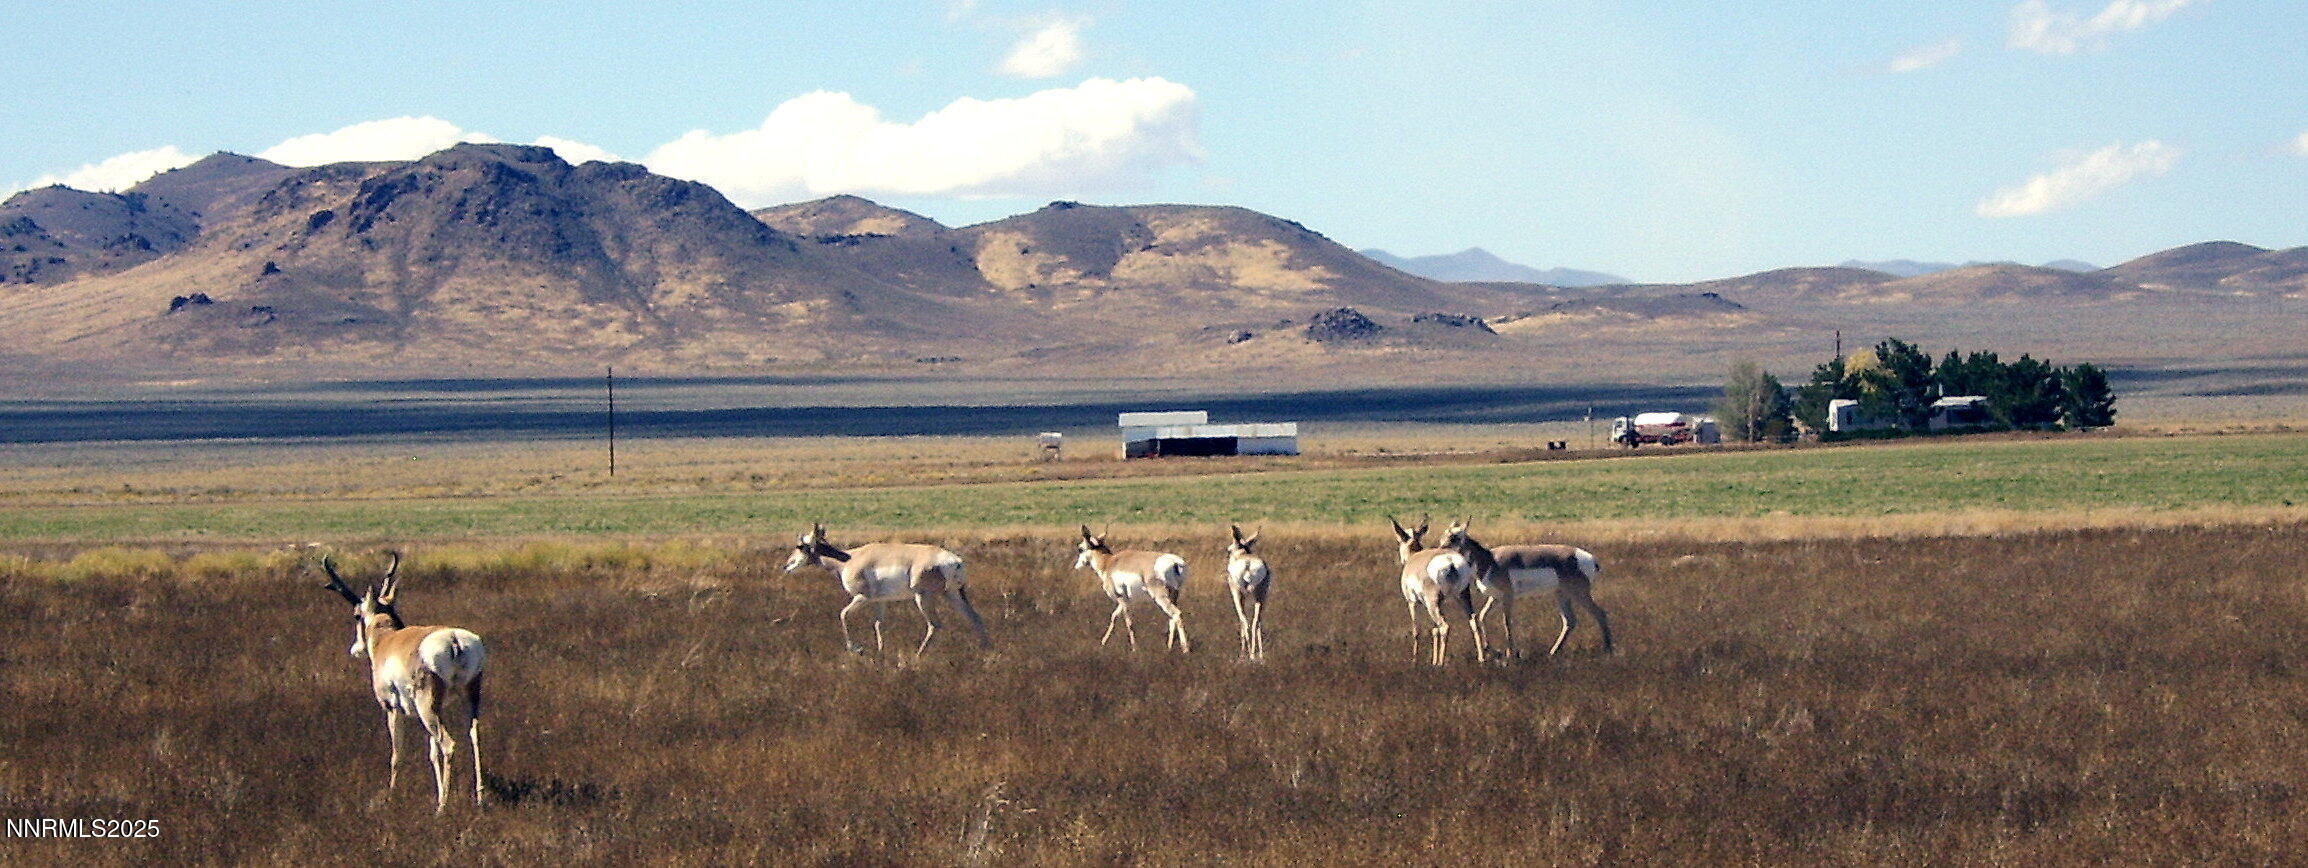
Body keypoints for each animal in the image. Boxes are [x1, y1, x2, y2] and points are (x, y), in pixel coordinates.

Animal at [317, 552, 487, 814]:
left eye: (356, 615)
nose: (355, 649)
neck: (387, 638)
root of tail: (454, 639)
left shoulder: (392, 708)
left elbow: (397, 753)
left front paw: (391, 795)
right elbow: (431, 753)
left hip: (428, 707)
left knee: (448, 744)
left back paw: (442, 808)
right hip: (466, 698)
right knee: (473, 736)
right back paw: (479, 799)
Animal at [783, 523, 991, 655]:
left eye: (799, 546)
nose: (786, 566)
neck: (849, 559)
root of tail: (955, 561)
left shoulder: (862, 597)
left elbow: (843, 614)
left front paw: (856, 649)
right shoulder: (880, 602)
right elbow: (878, 623)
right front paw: (880, 652)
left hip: (922, 597)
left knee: (934, 625)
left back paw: (918, 656)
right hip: (954, 594)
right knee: (975, 618)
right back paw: (985, 652)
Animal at [1224, 524, 1272, 661]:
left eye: (1228, 550)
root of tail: (1248, 563)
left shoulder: (1237, 594)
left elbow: (1241, 619)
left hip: (1239, 593)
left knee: (1245, 620)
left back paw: (1248, 654)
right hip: (1260, 595)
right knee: (1256, 621)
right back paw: (1258, 655)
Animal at [1392, 515, 1480, 666]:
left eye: (1399, 540)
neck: (1414, 556)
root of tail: (1450, 561)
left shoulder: (1412, 602)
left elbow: (1416, 630)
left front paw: (1415, 660)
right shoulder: (1438, 604)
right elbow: (1434, 630)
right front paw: (1433, 659)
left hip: (1432, 603)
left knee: (1444, 626)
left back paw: (1441, 664)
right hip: (1462, 596)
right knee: (1473, 621)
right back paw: (1481, 659)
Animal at [1442, 519, 1614, 659]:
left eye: (1454, 537)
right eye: (1443, 535)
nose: (1441, 549)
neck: (1489, 561)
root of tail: (1590, 559)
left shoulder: (1508, 597)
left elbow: (1506, 622)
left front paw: (1511, 653)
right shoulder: (1495, 598)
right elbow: (1481, 616)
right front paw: (1489, 648)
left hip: (1580, 593)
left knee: (1600, 613)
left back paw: (1608, 650)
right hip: (1562, 594)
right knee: (1570, 621)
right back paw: (1553, 652)